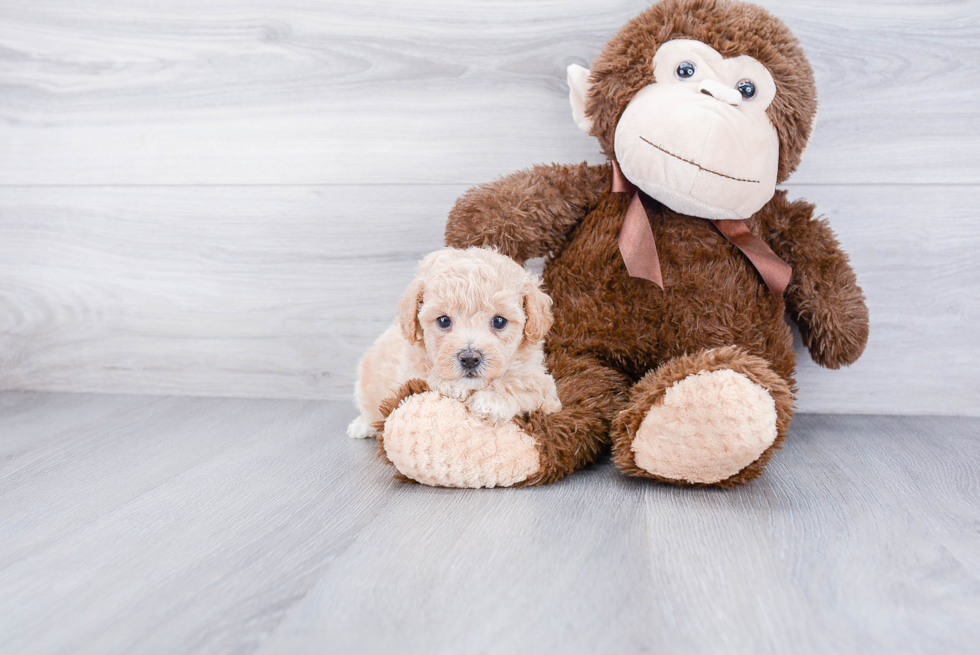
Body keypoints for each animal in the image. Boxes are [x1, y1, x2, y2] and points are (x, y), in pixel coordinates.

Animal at [344, 247, 560, 440]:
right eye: (443, 321)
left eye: (499, 321)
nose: (470, 358)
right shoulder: (410, 375)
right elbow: (430, 377)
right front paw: (453, 386)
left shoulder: (546, 390)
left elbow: (523, 383)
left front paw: (492, 400)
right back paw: (362, 425)